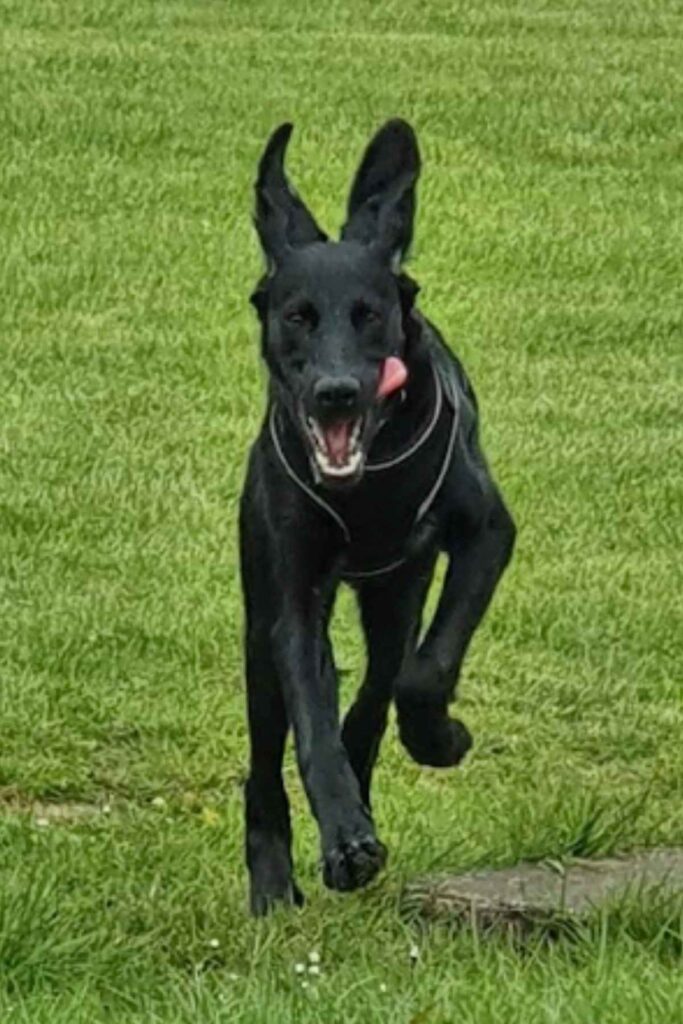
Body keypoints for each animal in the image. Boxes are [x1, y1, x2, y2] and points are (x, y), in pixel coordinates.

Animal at [240, 117, 511, 913]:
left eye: (370, 316)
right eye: (298, 317)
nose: (336, 392)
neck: (364, 486)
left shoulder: (486, 535)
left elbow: (423, 675)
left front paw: (439, 739)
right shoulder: (292, 599)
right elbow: (312, 727)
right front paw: (344, 840)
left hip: (397, 593)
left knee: (379, 686)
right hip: (257, 622)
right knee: (268, 752)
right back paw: (274, 883)